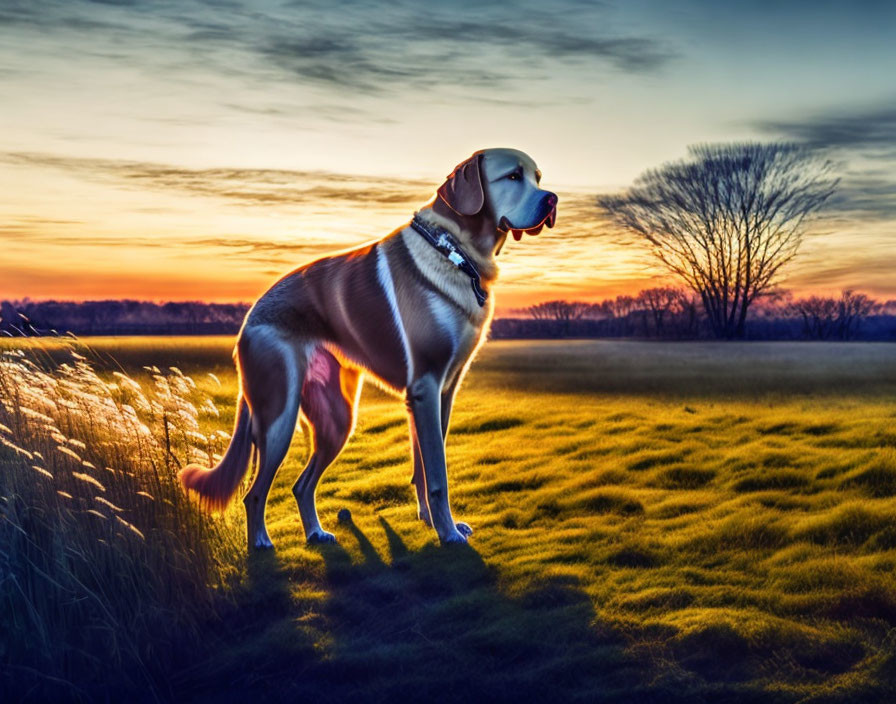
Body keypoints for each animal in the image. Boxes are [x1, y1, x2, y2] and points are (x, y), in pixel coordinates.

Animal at [178, 148, 556, 552]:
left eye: (537, 177)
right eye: (513, 176)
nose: (552, 200)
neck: (453, 249)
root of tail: (247, 321)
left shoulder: (441, 393)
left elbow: (423, 468)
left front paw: (431, 523)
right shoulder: (425, 387)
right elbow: (437, 475)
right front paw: (449, 534)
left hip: (338, 419)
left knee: (301, 485)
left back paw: (316, 533)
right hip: (279, 417)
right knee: (254, 493)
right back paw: (262, 543)